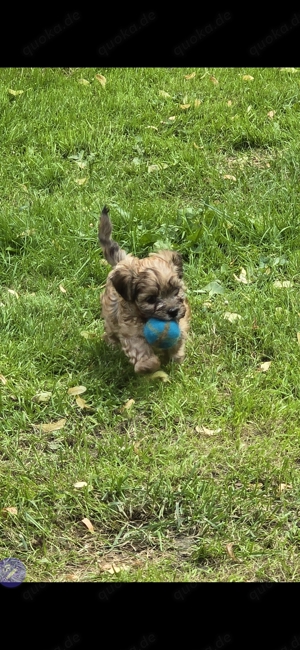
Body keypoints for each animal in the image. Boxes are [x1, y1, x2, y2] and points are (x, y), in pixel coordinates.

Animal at [98, 205, 190, 372]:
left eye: (176, 291)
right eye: (151, 299)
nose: (173, 311)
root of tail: (123, 261)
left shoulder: (182, 321)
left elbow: (179, 338)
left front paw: (176, 356)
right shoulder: (130, 329)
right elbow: (138, 346)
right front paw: (148, 364)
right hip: (110, 312)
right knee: (111, 328)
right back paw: (111, 343)